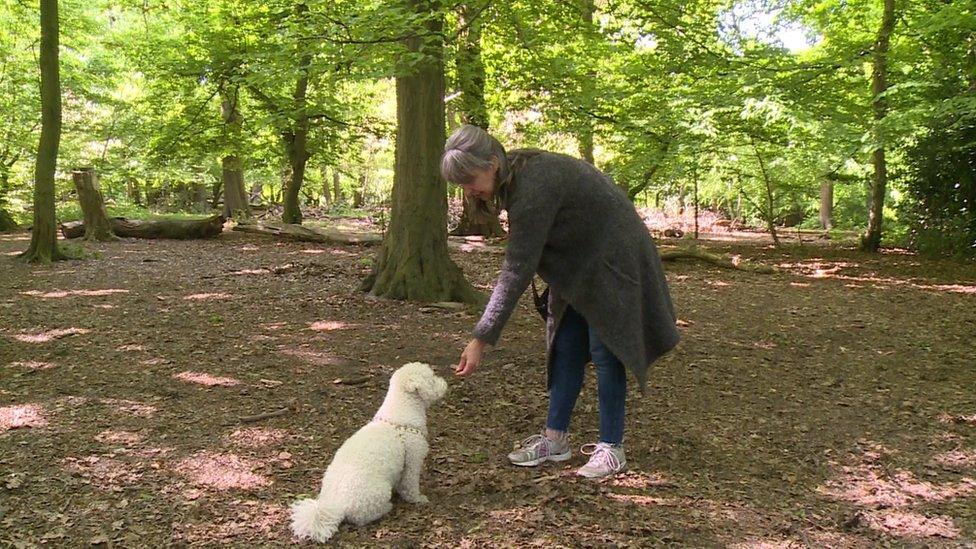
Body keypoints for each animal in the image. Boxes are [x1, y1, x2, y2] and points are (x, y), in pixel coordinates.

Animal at [286, 360, 446, 540]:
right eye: (432, 379)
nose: (444, 382)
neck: (400, 413)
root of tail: (336, 507)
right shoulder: (413, 460)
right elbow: (410, 486)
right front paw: (418, 499)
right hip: (379, 493)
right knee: (364, 518)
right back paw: (387, 507)